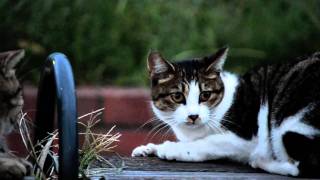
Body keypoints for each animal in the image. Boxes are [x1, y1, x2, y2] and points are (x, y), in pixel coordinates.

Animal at [132, 46, 320, 177]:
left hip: (289, 120)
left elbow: (209, 142)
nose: (193, 116)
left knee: (304, 166)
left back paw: (261, 161)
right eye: (177, 96)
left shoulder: (248, 136)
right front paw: (149, 148)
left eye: (205, 95)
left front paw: (170, 148)